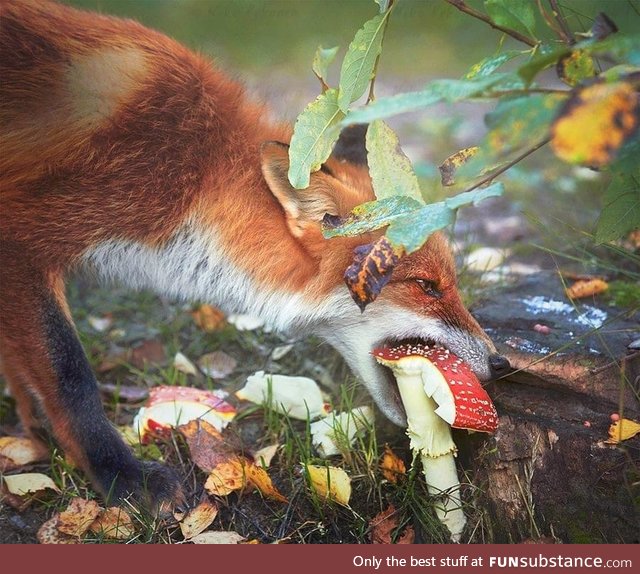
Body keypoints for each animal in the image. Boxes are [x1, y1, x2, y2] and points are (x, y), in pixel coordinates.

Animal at [0, 0, 510, 512]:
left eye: (451, 283)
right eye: (426, 286)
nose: (503, 364)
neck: (194, 173)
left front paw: (36, 430)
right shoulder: (21, 238)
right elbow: (71, 377)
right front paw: (122, 477)